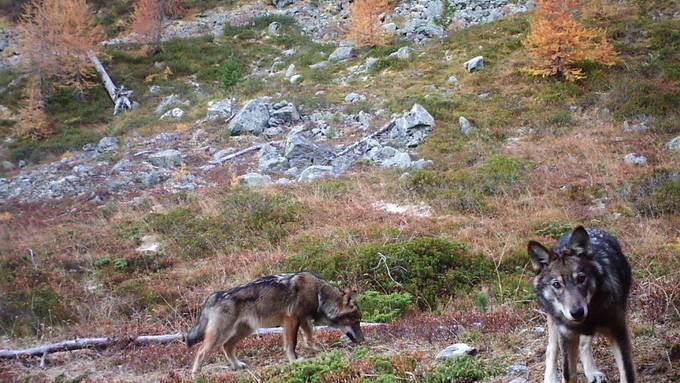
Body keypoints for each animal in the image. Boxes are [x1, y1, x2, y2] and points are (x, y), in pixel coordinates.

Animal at [183, 272, 364, 378]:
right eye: (355, 321)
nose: (363, 341)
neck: (318, 294)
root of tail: (214, 296)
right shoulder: (291, 320)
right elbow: (291, 344)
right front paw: (294, 361)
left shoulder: (303, 320)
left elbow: (308, 339)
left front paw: (316, 350)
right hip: (221, 335)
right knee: (201, 351)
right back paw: (196, 375)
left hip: (244, 331)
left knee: (227, 347)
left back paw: (237, 366)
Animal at [528, 226, 636, 383]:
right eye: (556, 284)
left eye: (581, 278)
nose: (577, 312)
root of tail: (592, 228)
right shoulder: (567, 336)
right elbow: (568, 374)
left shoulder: (618, 331)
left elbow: (627, 373)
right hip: (554, 322)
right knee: (551, 349)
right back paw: (550, 378)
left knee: (583, 344)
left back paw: (592, 373)